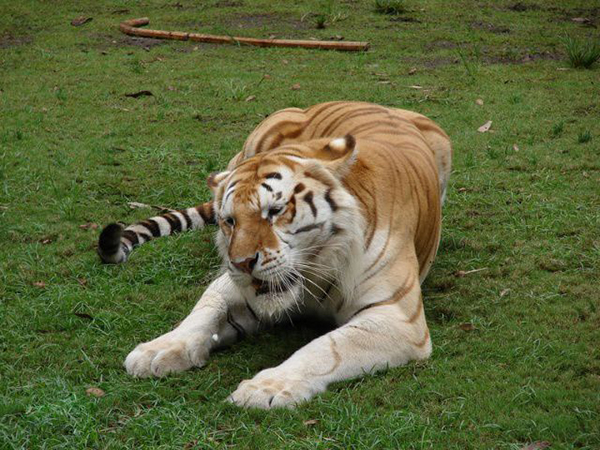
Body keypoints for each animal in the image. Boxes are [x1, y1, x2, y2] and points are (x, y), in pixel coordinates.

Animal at [98, 101, 450, 408]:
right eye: (230, 221)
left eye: (275, 211)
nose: (241, 263)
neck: (315, 268)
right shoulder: (233, 286)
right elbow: (204, 312)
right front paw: (159, 349)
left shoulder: (396, 317)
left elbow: (326, 348)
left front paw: (267, 387)